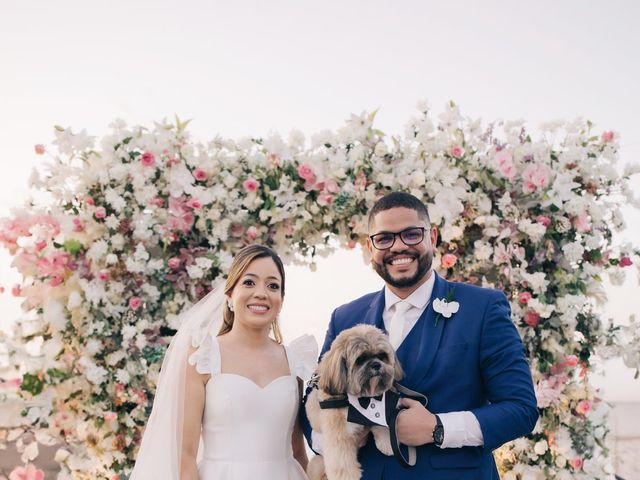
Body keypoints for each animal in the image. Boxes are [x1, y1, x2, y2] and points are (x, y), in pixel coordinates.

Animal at [304, 322, 400, 480]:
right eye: (360, 359)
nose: (376, 364)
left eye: (382, 356)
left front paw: (387, 443)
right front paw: (347, 476)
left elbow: (380, 422)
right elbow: (341, 459)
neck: (361, 399)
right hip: (317, 463)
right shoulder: (339, 433)